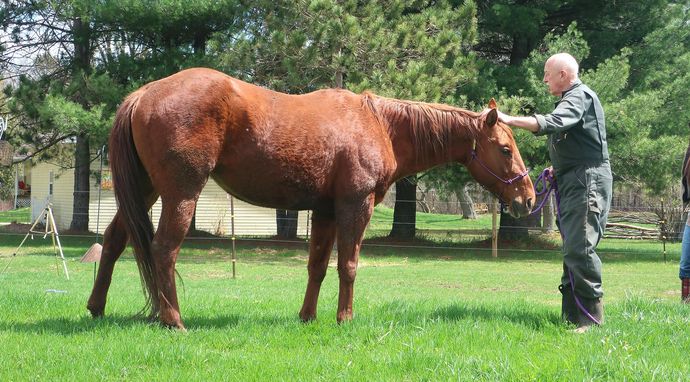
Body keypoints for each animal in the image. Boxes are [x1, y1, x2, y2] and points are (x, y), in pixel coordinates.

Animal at [86, 68, 536, 328]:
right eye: (506, 149)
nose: (529, 198)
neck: (380, 124)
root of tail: (142, 94)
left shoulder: (325, 212)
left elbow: (317, 267)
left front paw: (307, 316)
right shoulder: (355, 206)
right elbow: (348, 266)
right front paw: (344, 318)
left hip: (145, 192)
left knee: (114, 240)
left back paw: (96, 307)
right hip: (180, 194)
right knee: (163, 249)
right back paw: (173, 319)